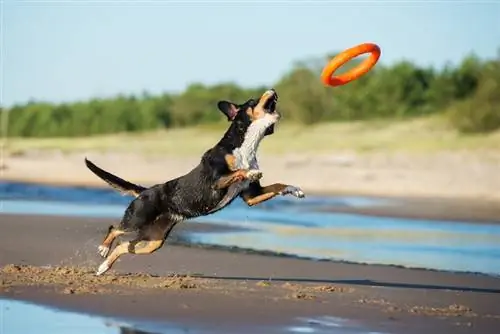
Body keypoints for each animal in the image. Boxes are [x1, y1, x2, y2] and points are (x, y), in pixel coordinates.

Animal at [85, 87, 304, 276]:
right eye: (252, 101)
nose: (273, 89)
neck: (246, 146)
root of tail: (145, 190)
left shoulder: (251, 196)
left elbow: (278, 185)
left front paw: (294, 189)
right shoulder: (217, 181)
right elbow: (240, 171)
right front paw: (251, 172)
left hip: (153, 240)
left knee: (124, 245)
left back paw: (103, 267)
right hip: (137, 219)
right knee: (115, 229)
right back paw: (103, 248)